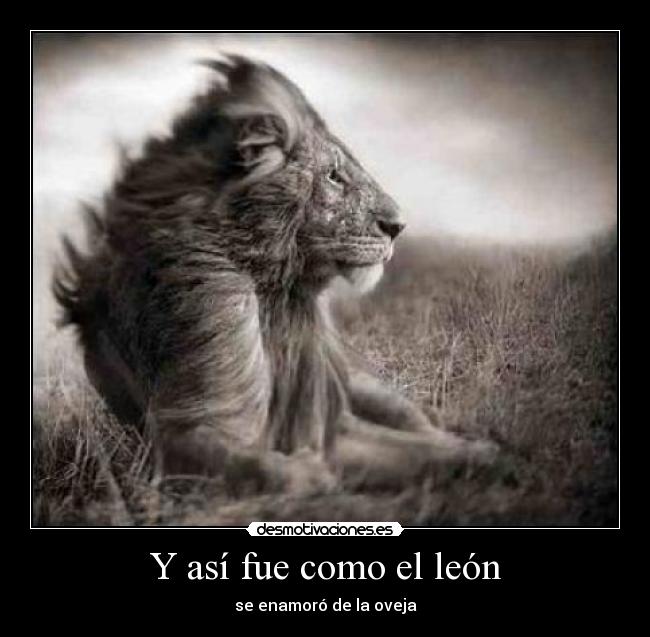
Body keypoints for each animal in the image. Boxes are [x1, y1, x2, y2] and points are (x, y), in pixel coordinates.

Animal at [53, 54, 496, 495]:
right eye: (334, 176)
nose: (398, 226)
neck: (275, 293)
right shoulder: (185, 433)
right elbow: (256, 466)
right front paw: (309, 474)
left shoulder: (328, 420)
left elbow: (420, 450)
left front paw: (485, 453)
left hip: (364, 386)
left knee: (416, 419)